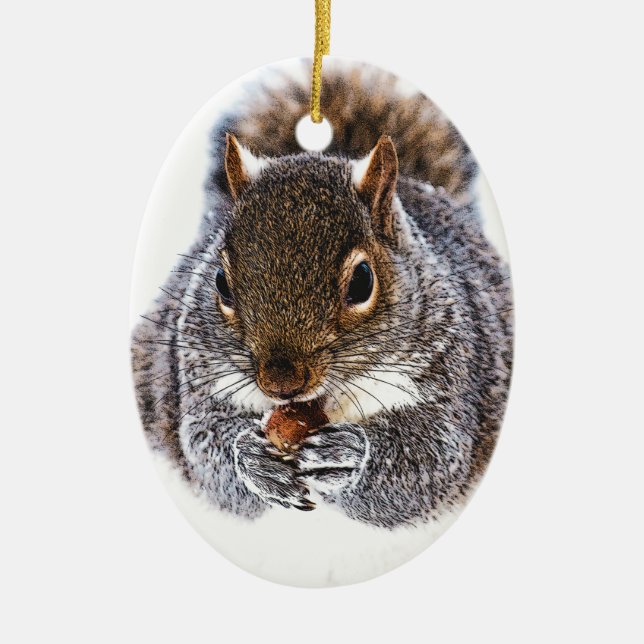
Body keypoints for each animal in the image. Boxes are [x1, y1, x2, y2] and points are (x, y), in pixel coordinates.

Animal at [131, 61, 513, 529]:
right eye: (220, 281)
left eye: (363, 280)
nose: (281, 383)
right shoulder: (196, 376)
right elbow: (207, 448)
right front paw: (251, 458)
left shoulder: (453, 376)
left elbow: (430, 459)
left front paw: (349, 457)